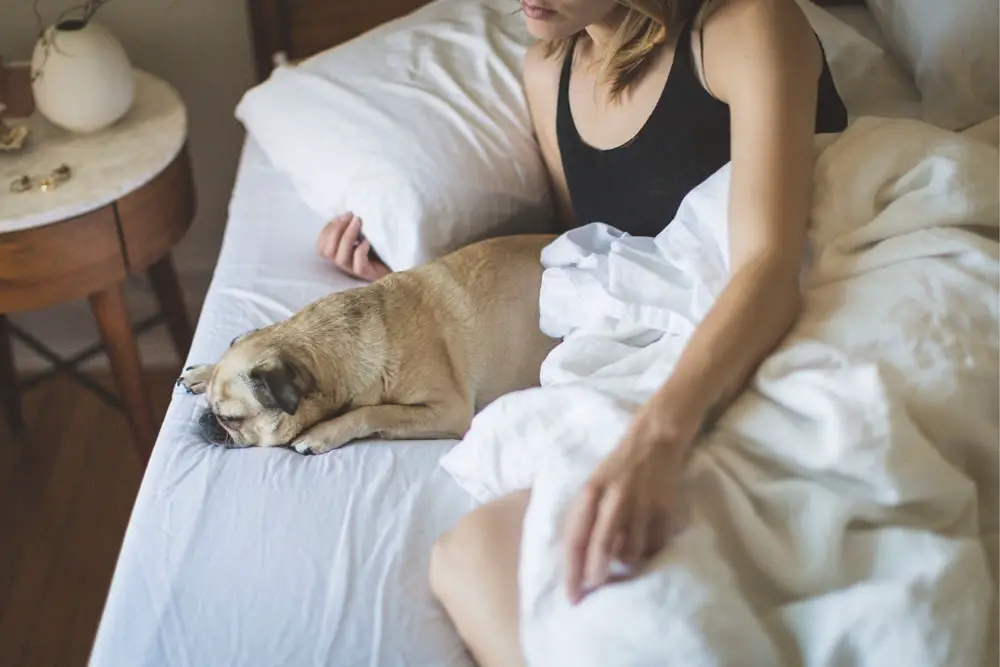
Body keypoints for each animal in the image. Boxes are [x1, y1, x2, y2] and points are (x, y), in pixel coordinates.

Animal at [176, 232, 560, 456]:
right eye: (212, 409)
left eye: (230, 419)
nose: (204, 420)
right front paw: (203, 372)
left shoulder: (448, 410)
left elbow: (375, 411)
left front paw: (323, 432)